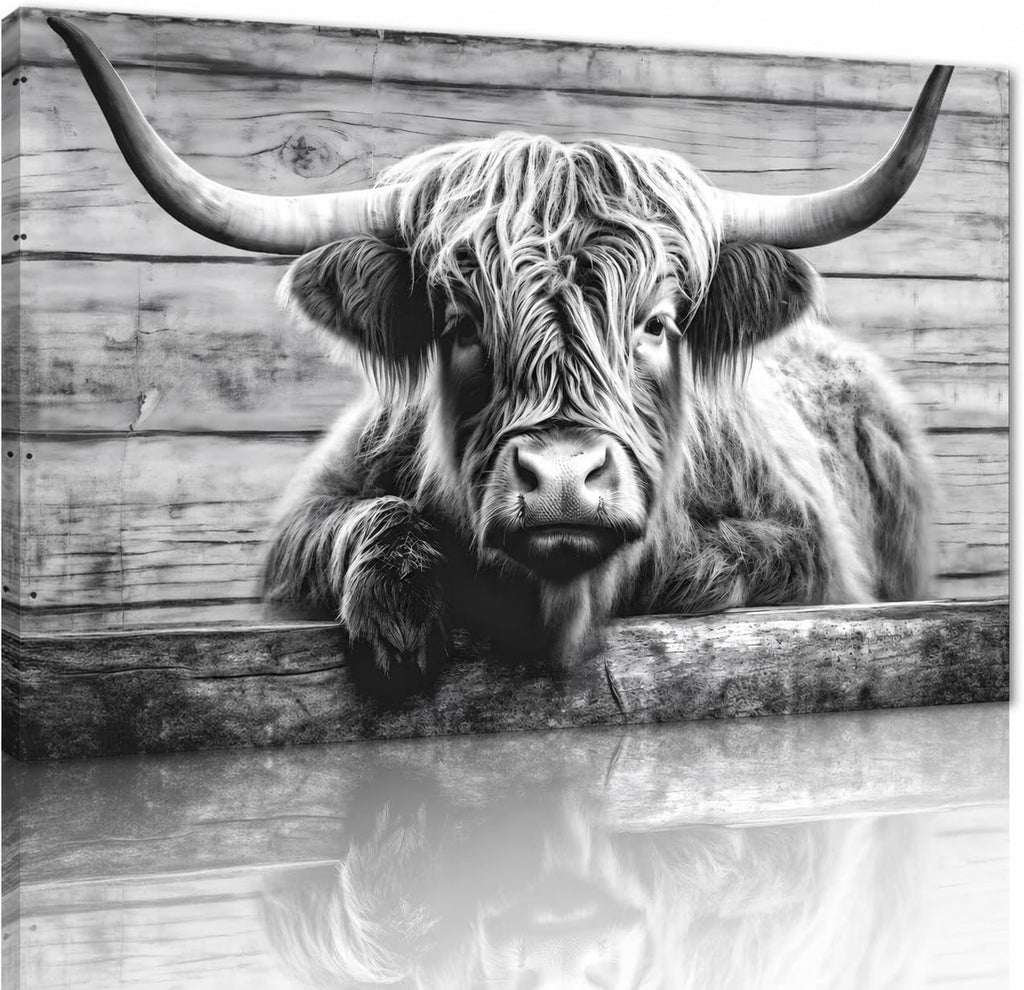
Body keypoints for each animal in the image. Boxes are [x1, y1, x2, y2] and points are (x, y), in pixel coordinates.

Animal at [51, 18, 946, 675]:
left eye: (656, 324)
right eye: (460, 324)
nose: (563, 482)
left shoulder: (810, 552)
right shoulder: (302, 531)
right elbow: (361, 520)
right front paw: (402, 612)